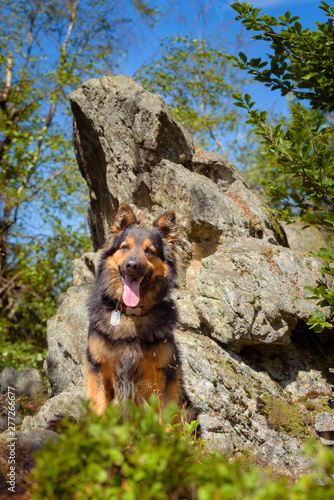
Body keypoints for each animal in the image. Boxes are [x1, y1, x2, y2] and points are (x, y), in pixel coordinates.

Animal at [86, 203, 196, 422]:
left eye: (150, 251)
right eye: (124, 247)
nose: (132, 265)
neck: (131, 314)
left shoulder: (161, 375)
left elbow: (164, 420)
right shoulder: (97, 369)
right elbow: (100, 408)